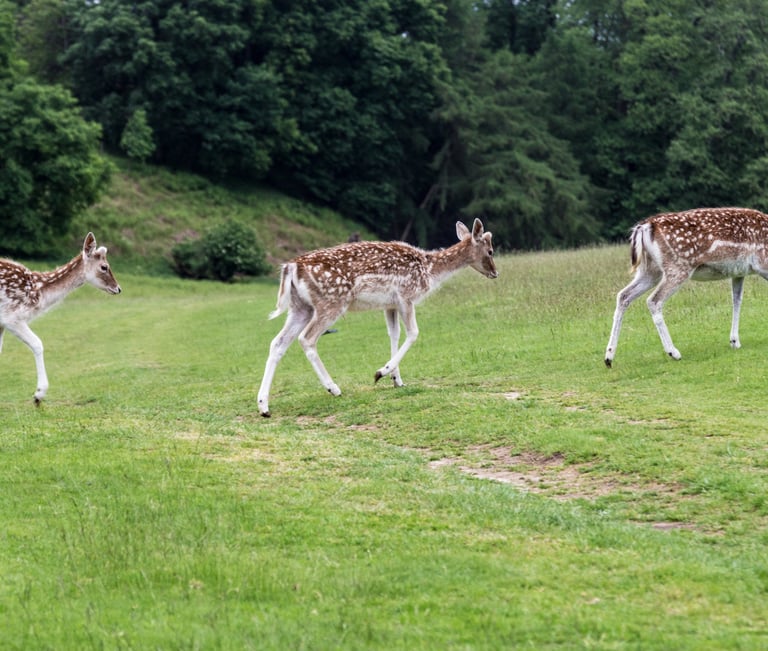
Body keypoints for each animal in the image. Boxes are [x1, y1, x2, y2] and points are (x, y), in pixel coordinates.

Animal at [0, 233, 121, 404]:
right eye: (104, 266)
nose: (118, 288)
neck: (38, 292)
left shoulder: (2, 324)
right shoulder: (11, 316)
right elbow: (37, 343)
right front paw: (39, 395)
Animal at [257, 218, 498, 417]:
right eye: (491, 251)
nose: (496, 273)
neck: (429, 270)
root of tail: (290, 267)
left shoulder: (389, 304)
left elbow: (394, 334)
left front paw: (397, 380)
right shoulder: (405, 296)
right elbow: (413, 333)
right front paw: (381, 372)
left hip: (300, 308)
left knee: (277, 342)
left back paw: (263, 406)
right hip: (331, 302)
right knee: (307, 339)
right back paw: (333, 388)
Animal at [605, 207, 768, 366]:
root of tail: (644, 227)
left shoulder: (738, 272)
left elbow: (737, 301)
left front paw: (734, 341)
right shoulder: (762, 264)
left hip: (649, 270)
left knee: (623, 295)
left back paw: (608, 357)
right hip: (678, 267)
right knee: (653, 300)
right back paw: (673, 352)